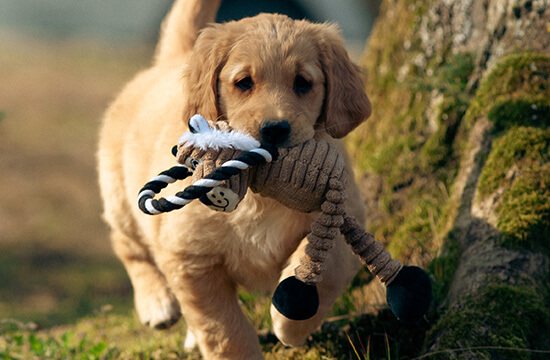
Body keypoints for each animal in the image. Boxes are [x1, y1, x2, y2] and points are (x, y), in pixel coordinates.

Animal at [98, 0, 374, 358]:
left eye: (303, 83)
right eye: (244, 82)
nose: (275, 129)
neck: (260, 193)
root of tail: (172, 60)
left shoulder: (346, 213)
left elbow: (326, 269)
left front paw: (290, 322)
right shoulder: (189, 256)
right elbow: (224, 328)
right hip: (119, 194)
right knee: (125, 243)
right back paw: (156, 304)